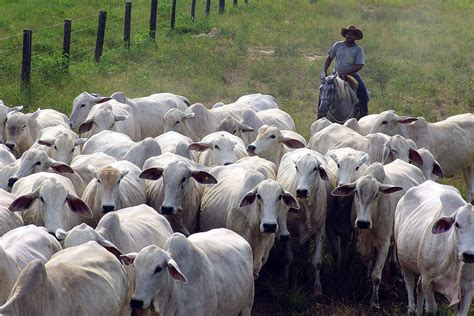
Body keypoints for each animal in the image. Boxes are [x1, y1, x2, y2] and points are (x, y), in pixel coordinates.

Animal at [278, 148, 330, 294]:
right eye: (297, 167)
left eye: (315, 168)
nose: (301, 191)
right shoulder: (288, 231)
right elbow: (288, 257)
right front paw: (285, 282)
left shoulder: (320, 231)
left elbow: (317, 262)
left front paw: (317, 289)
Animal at [332, 159, 424, 308]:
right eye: (356, 192)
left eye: (376, 194)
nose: (363, 223)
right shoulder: (363, 242)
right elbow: (367, 265)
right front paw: (365, 283)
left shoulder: (383, 243)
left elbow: (376, 275)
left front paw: (374, 302)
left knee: (395, 246)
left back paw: (396, 272)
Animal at [396, 180, 474, 316]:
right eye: (457, 224)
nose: (468, 254)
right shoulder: (428, 281)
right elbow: (431, 309)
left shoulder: (469, 287)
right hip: (403, 262)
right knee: (409, 283)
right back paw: (411, 309)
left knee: (418, 287)